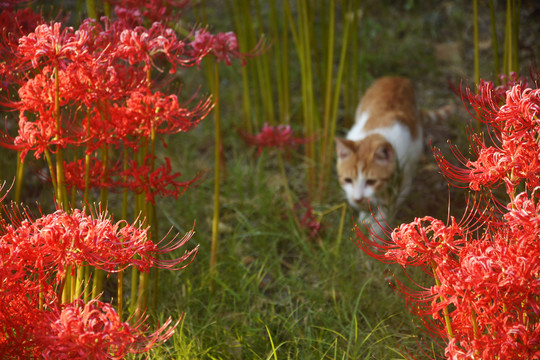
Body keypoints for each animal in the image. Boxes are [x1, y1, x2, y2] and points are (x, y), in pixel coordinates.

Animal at [336, 77, 454, 232]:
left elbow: (384, 215)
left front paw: (375, 230)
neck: (376, 134)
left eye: (371, 181)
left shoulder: (402, 184)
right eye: (348, 180)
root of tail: (397, 77)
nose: (358, 198)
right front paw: (364, 216)